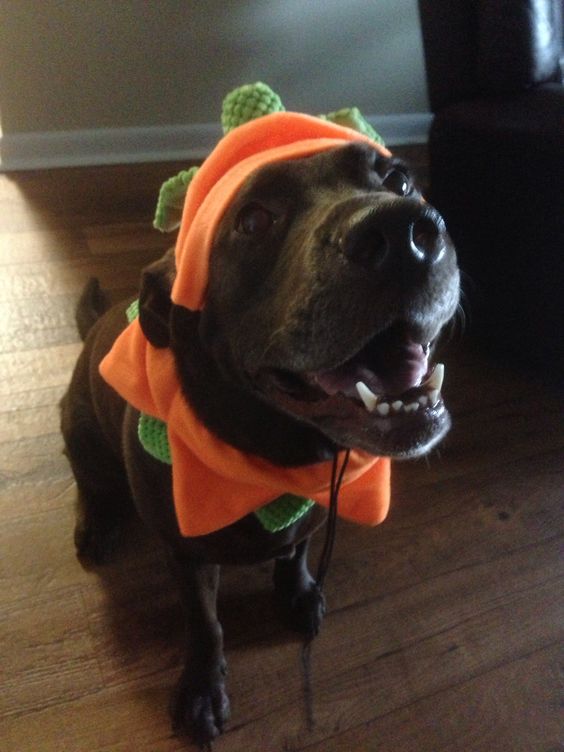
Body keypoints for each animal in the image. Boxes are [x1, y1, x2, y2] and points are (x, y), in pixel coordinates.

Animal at [60, 142, 458, 748]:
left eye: (400, 180)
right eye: (252, 221)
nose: (405, 231)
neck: (278, 457)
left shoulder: (312, 512)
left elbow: (295, 552)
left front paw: (296, 591)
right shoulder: (187, 555)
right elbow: (205, 624)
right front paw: (202, 690)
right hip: (78, 427)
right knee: (90, 482)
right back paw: (96, 524)